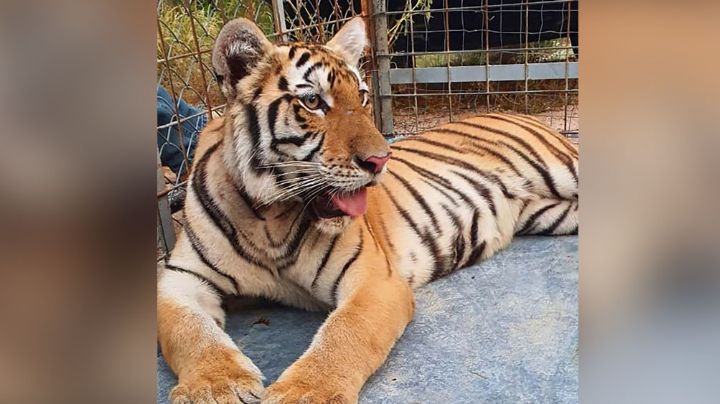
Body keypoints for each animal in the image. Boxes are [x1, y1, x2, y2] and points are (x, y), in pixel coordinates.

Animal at [157, 16, 578, 404]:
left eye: (361, 96)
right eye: (312, 102)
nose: (380, 160)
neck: (268, 218)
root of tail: (526, 115)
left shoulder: (374, 279)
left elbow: (345, 333)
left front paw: (304, 393)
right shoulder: (180, 278)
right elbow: (190, 331)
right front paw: (213, 387)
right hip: (549, 214)